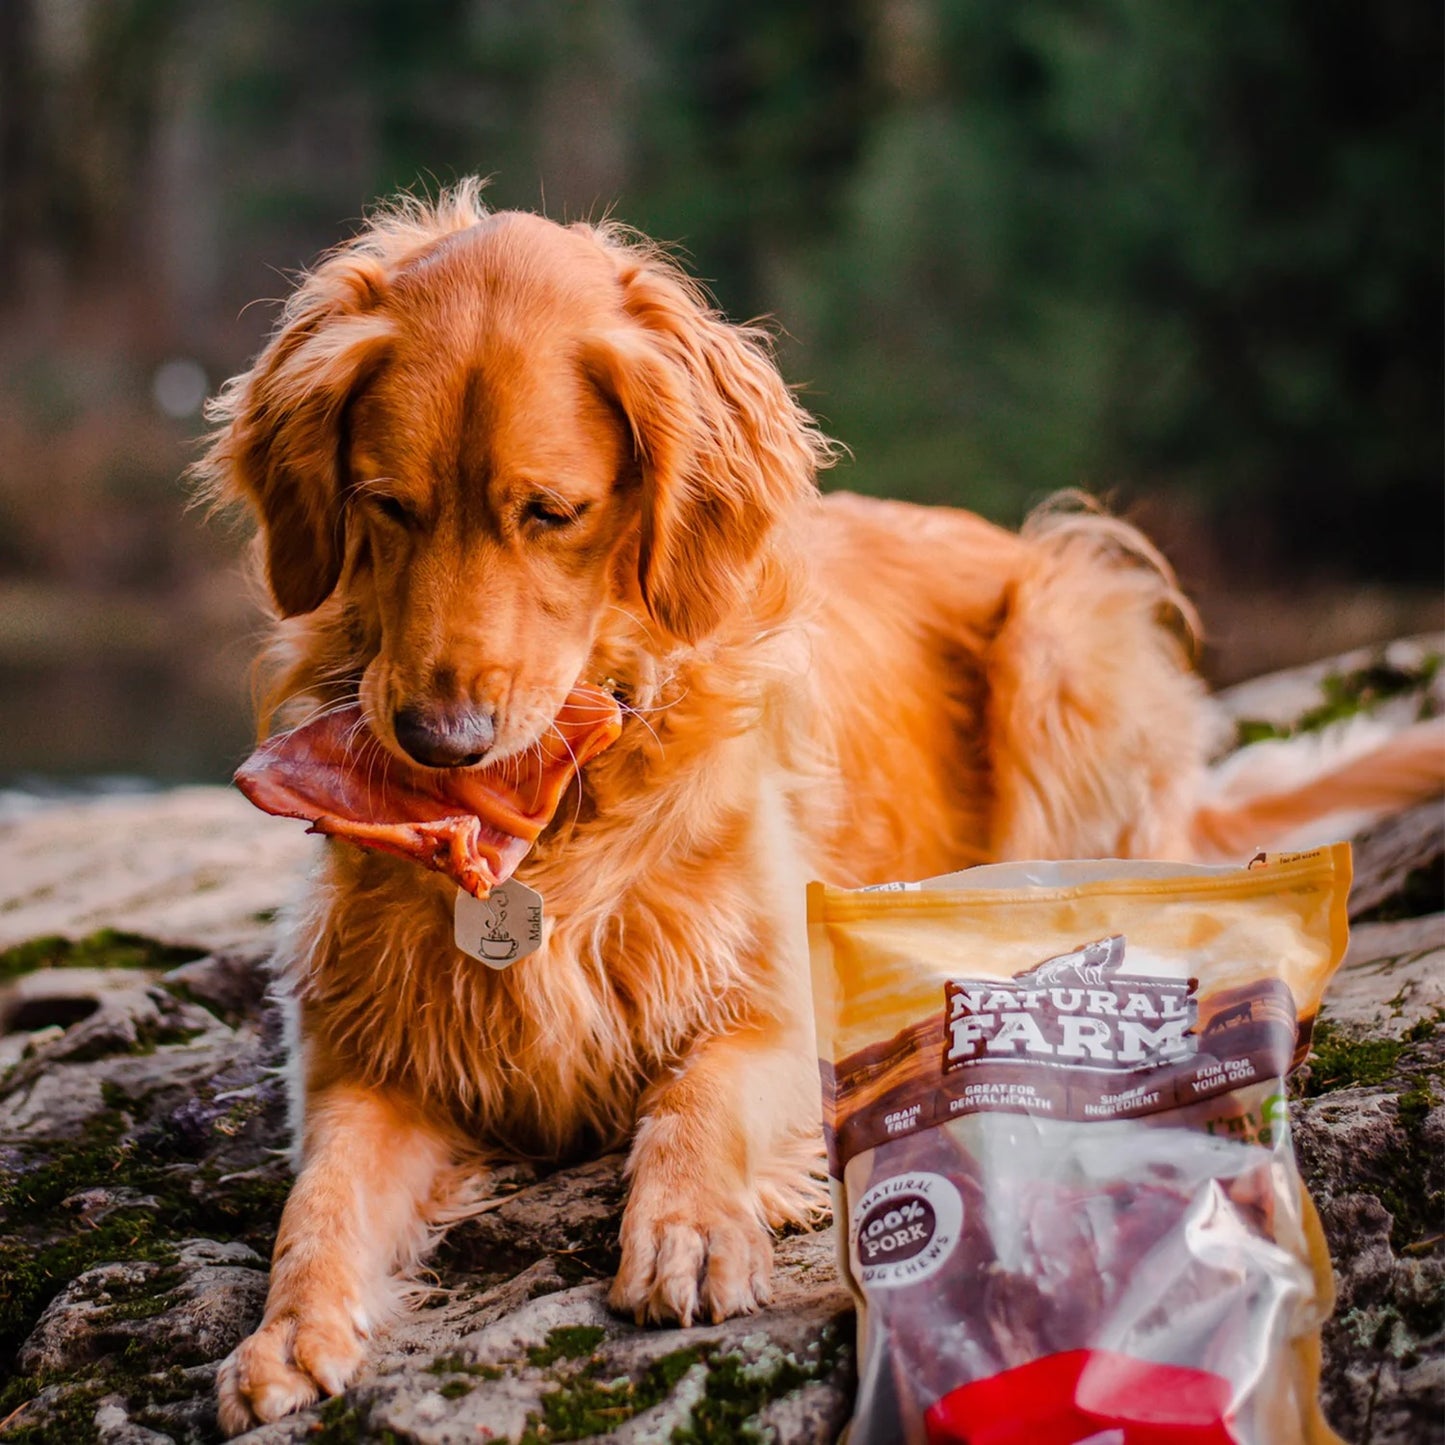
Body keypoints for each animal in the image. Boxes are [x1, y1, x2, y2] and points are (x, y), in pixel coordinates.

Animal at [203, 183, 1445, 1433]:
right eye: (386, 505)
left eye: (549, 512)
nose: (439, 741)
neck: (561, 807)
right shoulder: (364, 1053)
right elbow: (320, 1197)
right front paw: (287, 1329)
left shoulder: (777, 995)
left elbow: (698, 1095)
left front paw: (691, 1224)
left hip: (1063, 635)